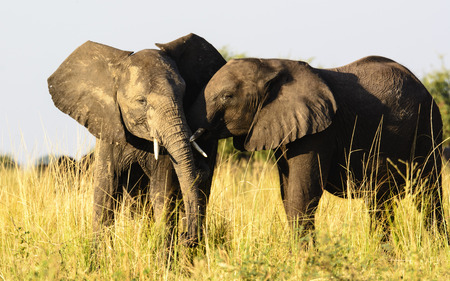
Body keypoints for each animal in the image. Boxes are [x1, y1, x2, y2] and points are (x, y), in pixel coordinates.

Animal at [46, 33, 225, 243]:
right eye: (142, 101)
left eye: (183, 95)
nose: (185, 236)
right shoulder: (108, 129)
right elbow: (106, 191)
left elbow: (162, 192)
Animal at [188, 56, 444, 238]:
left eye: (227, 97)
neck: (271, 64)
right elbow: (287, 192)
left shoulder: (320, 132)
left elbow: (302, 193)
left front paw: (305, 261)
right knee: (383, 201)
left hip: (428, 127)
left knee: (426, 196)